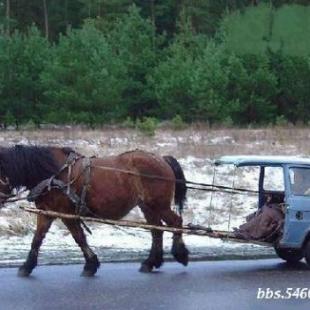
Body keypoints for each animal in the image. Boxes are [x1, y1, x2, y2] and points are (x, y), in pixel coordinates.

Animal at [0, 145, 189, 276]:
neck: (54, 174)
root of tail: (162, 159)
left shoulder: (66, 213)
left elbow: (79, 238)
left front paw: (90, 265)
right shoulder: (47, 213)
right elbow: (37, 239)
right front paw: (27, 266)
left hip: (159, 204)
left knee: (175, 222)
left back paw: (180, 254)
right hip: (148, 206)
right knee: (156, 230)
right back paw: (150, 262)